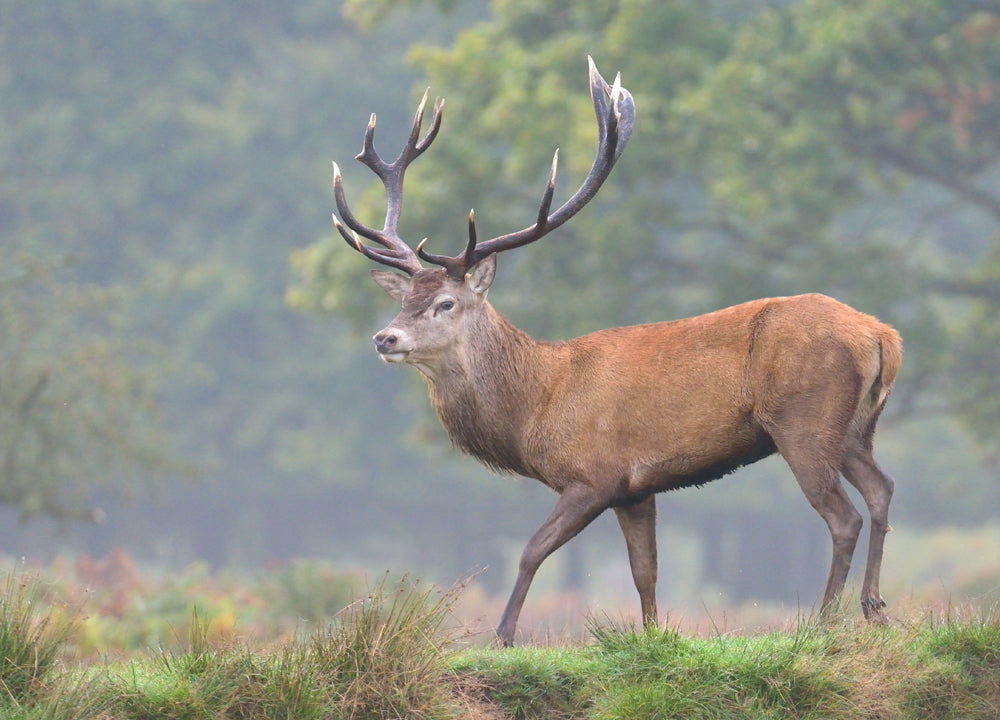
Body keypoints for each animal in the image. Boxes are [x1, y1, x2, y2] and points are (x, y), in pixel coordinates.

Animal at [332, 54, 904, 640]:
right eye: (405, 301)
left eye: (445, 303)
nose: (385, 337)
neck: (536, 405)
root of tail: (882, 335)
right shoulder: (637, 489)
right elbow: (644, 571)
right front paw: (652, 638)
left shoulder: (594, 475)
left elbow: (532, 551)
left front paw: (504, 636)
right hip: (854, 428)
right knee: (881, 490)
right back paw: (874, 607)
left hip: (803, 422)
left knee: (844, 516)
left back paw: (824, 621)